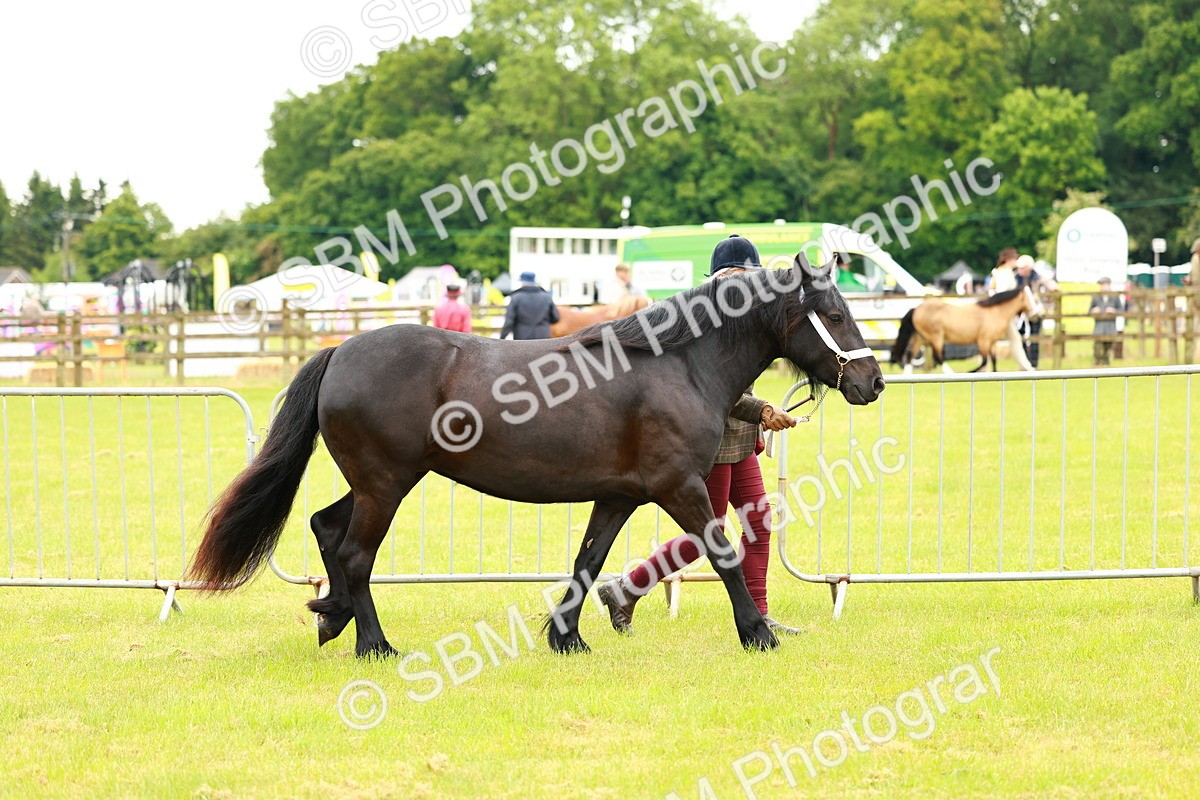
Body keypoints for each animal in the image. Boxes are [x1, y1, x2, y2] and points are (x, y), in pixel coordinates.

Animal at [188, 256, 885, 658]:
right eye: (835, 312)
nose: (873, 381)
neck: (676, 364)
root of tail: (342, 351)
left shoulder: (618, 494)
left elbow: (588, 561)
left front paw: (567, 636)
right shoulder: (680, 486)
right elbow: (724, 553)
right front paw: (757, 633)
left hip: (373, 483)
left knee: (327, 528)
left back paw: (331, 618)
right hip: (386, 485)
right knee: (356, 555)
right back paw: (373, 644)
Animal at [890, 287, 1044, 374]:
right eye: (1033, 299)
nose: (1037, 316)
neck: (994, 312)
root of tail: (917, 309)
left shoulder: (992, 342)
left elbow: (993, 360)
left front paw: (994, 373)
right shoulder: (983, 341)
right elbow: (984, 361)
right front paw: (971, 371)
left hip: (920, 338)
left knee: (909, 356)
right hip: (936, 338)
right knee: (938, 357)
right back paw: (951, 373)